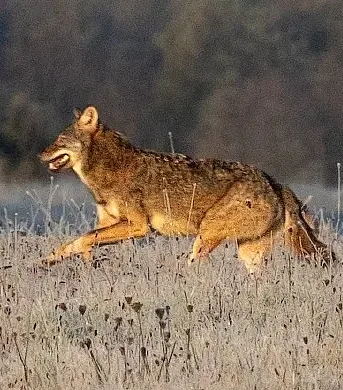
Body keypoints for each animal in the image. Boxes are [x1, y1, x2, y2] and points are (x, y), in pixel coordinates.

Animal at [39, 105, 334, 272]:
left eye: (59, 139)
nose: (40, 154)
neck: (107, 170)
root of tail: (275, 182)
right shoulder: (108, 222)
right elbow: (75, 242)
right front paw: (47, 261)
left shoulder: (138, 226)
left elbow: (85, 238)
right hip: (247, 253)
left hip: (205, 236)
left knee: (195, 266)